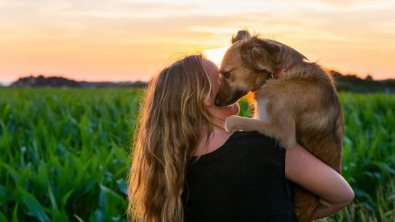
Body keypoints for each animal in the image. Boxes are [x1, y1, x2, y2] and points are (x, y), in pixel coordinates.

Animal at [215, 29, 344, 222]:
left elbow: (233, 119)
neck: (278, 74)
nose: (215, 102)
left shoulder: (283, 131)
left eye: (227, 74)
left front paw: (228, 124)